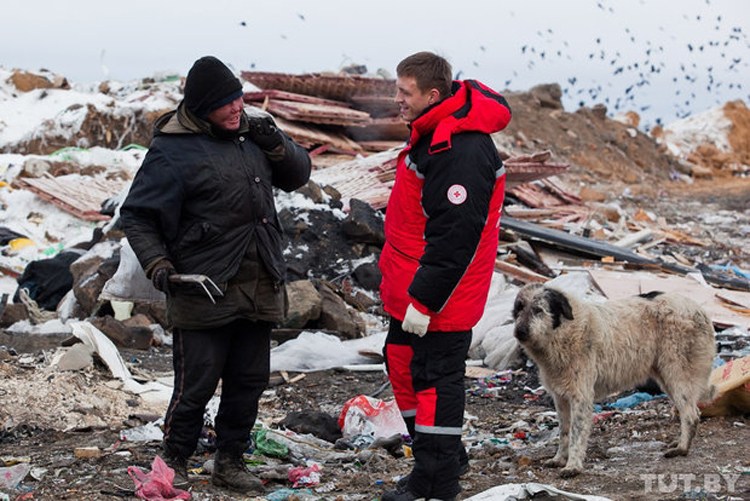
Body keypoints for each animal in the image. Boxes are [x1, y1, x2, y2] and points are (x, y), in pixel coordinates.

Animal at [516, 282, 720, 476]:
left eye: (538, 310)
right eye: (519, 308)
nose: (519, 332)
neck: (563, 331)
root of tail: (699, 309)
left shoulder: (580, 397)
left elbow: (576, 434)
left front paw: (572, 467)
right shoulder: (561, 398)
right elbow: (564, 432)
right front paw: (559, 459)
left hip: (677, 375)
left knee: (691, 414)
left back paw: (682, 449)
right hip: (667, 378)